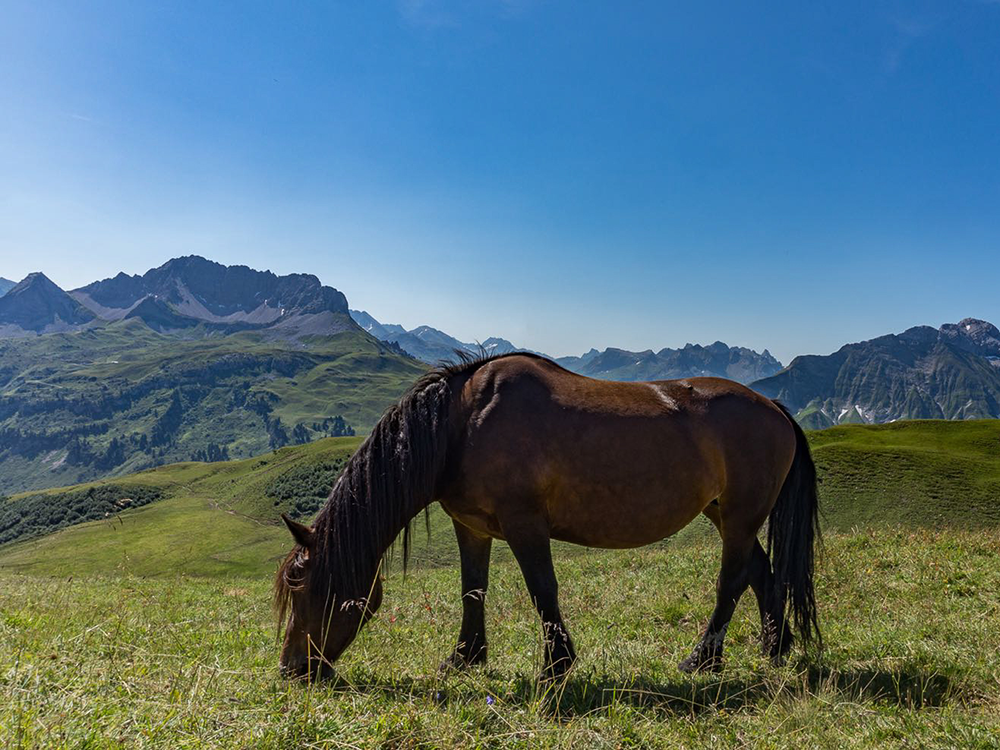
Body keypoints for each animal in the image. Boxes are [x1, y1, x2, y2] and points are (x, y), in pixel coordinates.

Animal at [276, 352, 820, 680]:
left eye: (307, 591)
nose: (292, 670)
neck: (461, 424)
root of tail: (774, 406)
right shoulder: (471, 526)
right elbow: (472, 590)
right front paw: (465, 658)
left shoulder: (524, 523)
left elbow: (542, 589)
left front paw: (556, 666)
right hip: (724, 514)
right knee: (762, 573)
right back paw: (776, 647)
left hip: (741, 516)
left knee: (732, 581)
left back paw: (702, 659)